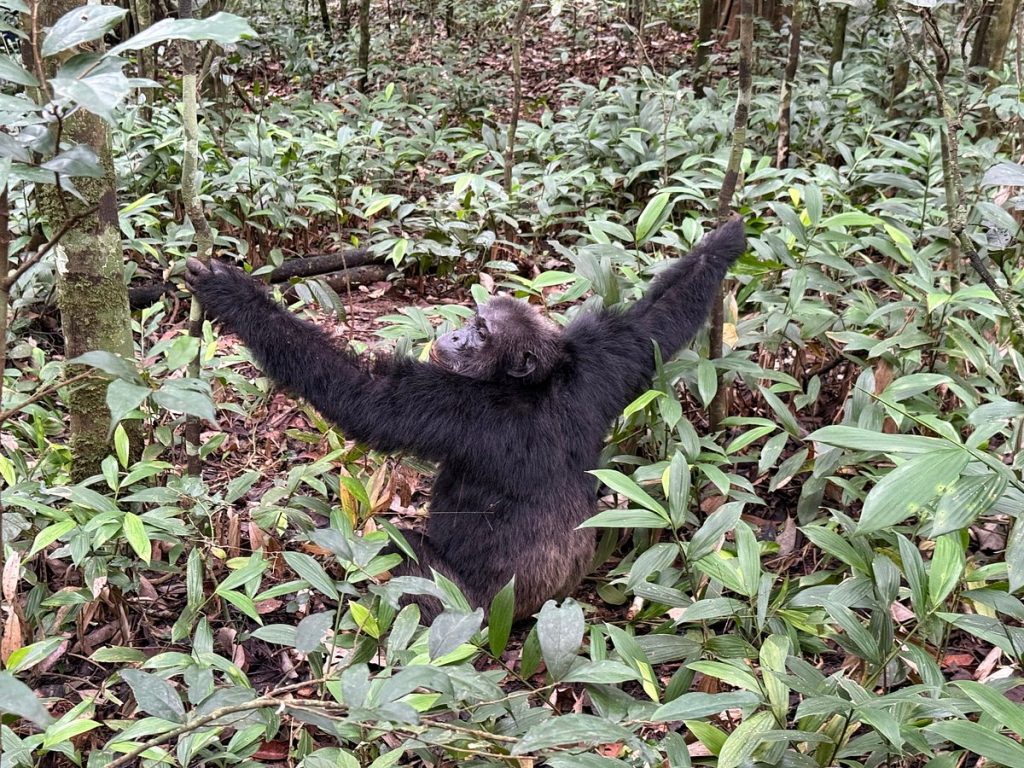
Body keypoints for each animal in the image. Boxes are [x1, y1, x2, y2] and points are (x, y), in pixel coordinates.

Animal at [185, 217, 746, 623]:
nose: (454, 334)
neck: (524, 385)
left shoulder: (453, 405)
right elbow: (655, 321)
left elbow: (363, 396)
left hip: (462, 602)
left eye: (481, 332)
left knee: (401, 552)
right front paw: (724, 241)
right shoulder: (601, 359)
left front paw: (235, 295)